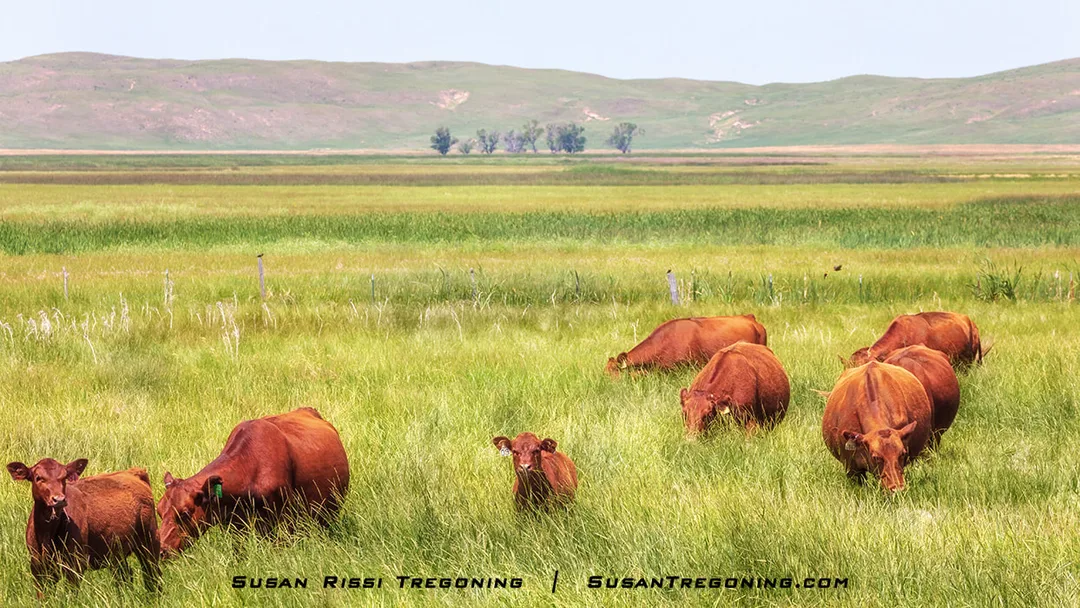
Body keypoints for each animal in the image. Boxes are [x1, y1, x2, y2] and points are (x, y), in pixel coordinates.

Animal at [6, 459, 160, 598]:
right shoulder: (38, 568)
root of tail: (132, 473)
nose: (59, 499)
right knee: (125, 576)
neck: (47, 535)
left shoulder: (75, 566)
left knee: (152, 575)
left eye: (64, 478)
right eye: (38, 478)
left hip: (149, 541)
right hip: (116, 552)